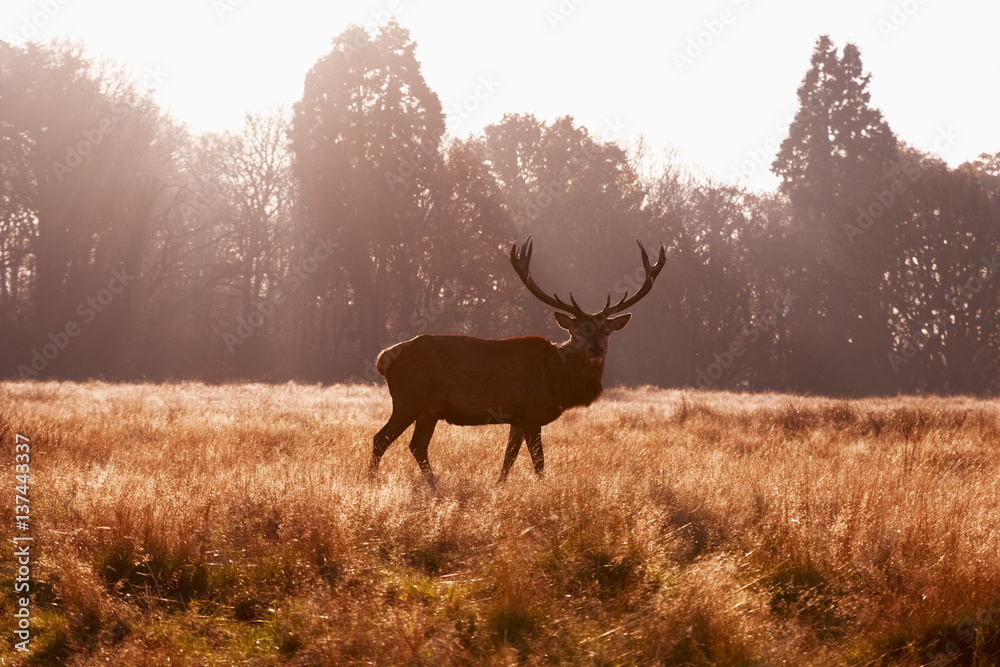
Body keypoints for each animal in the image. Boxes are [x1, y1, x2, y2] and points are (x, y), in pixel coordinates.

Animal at [368, 236, 666, 490]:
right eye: (579, 331)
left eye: (606, 331)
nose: (596, 349)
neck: (559, 381)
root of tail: (382, 359)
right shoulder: (531, 410)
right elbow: (539, 462)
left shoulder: (517, 418)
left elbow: (508, 459)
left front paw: (498, 488)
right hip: (409, 398)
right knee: (381, 439)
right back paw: (372, 484)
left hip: (429, 410)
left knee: (417, 446)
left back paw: (435, 487)